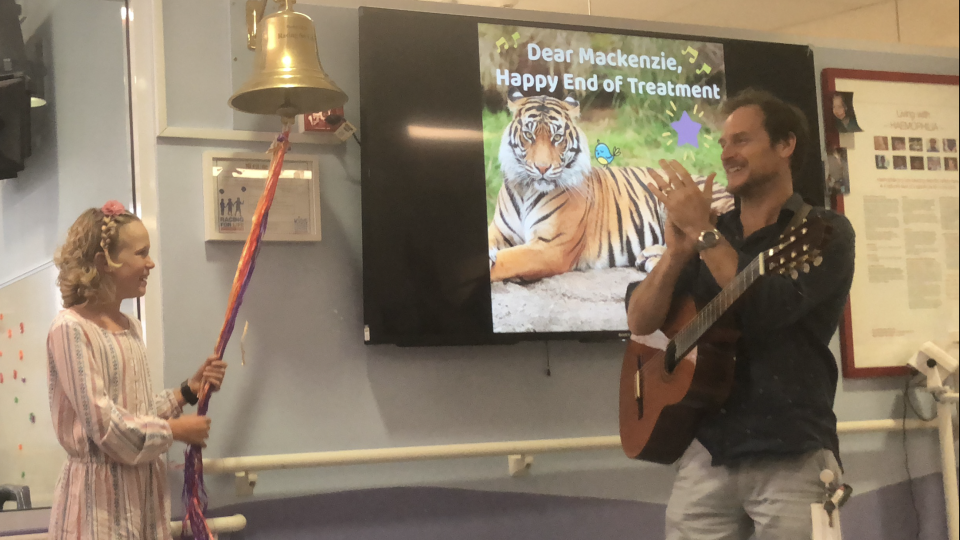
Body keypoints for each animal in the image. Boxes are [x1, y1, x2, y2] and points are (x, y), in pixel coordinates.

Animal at [492, 93, 732, 284]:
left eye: (557, 137)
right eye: (528, 135)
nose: (542, 168)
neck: (526, 189)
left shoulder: (551, 247)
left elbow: (507, 259)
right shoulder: (499, 231)